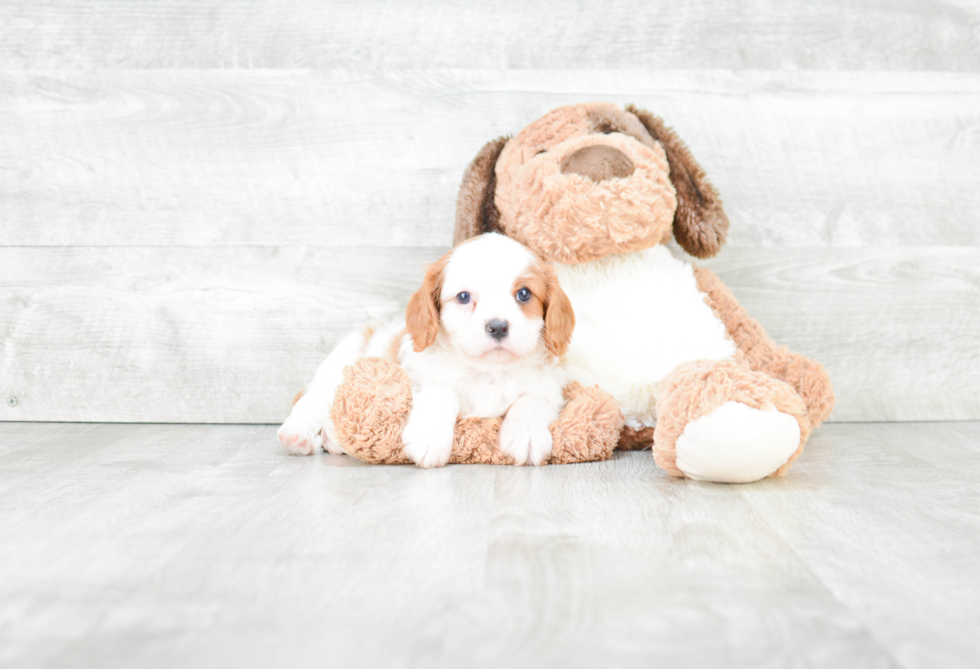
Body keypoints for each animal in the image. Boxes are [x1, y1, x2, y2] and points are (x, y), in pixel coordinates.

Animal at [276, 232, 576, 468]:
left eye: (524, 294)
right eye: (464, 297)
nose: (498, 326)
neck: (488, 372)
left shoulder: (551, 385)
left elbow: (533, 398)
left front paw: (526, 434)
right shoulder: (418, 376)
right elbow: (442, 392)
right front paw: (429, 436)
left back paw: (332, 439)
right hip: (339, 364)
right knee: (311, 402)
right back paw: (297, 436)